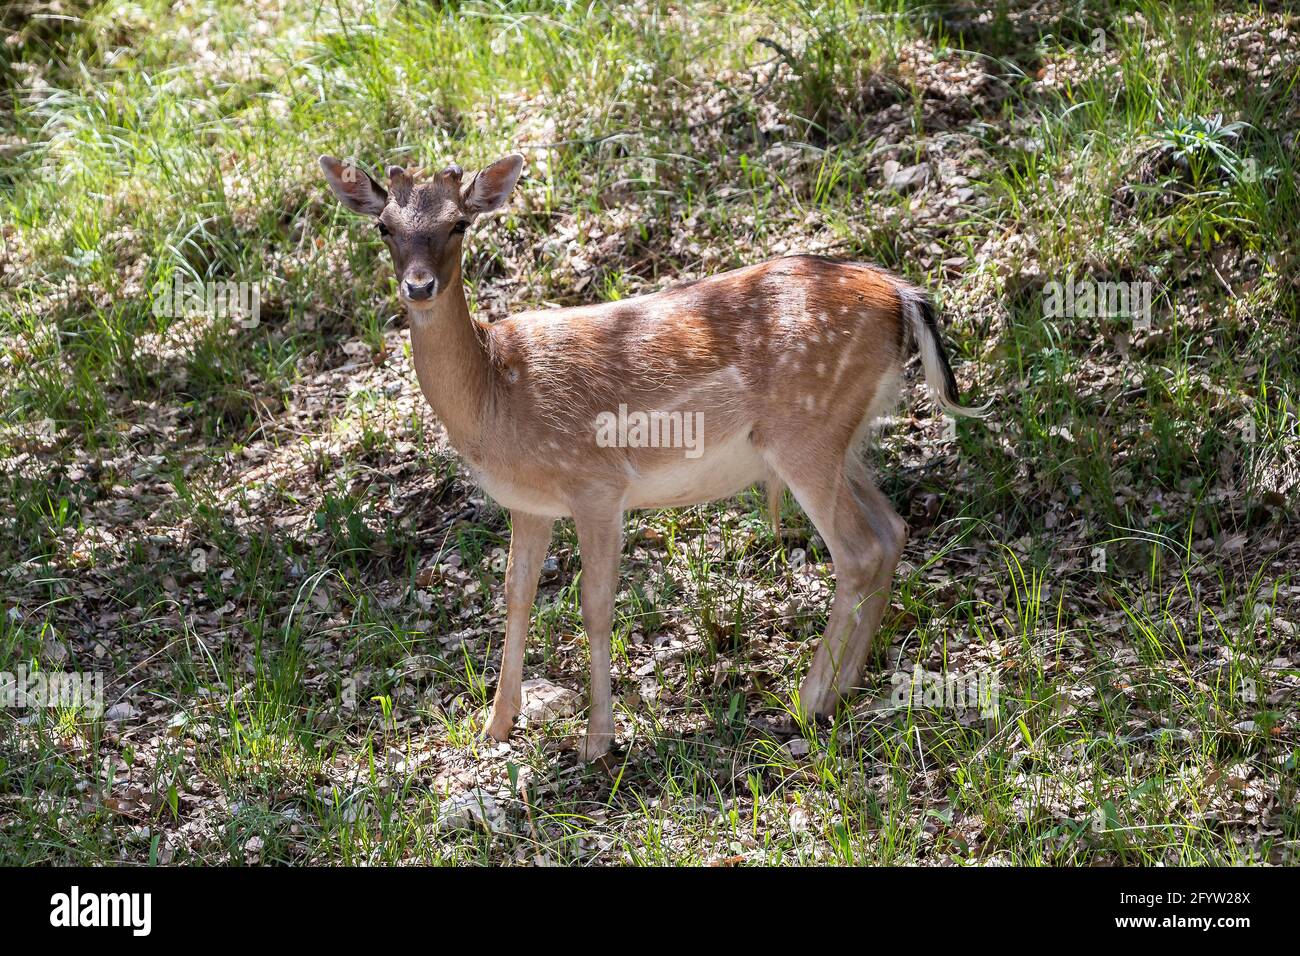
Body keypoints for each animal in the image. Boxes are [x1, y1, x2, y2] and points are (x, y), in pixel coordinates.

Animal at [319, 151, 977, 764]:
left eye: (458, 223)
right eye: (383, 226)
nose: (419, 286)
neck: (495, 396)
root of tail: (905, 296)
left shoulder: (596, 484)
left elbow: (595, 604)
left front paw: (596, 741)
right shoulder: (529, 504)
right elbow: (516, 595)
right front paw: (496, 725)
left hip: (806, 433)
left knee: (858, 550)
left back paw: (810, 700)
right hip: (841, 436)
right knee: (891, 529)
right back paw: (844, 687)